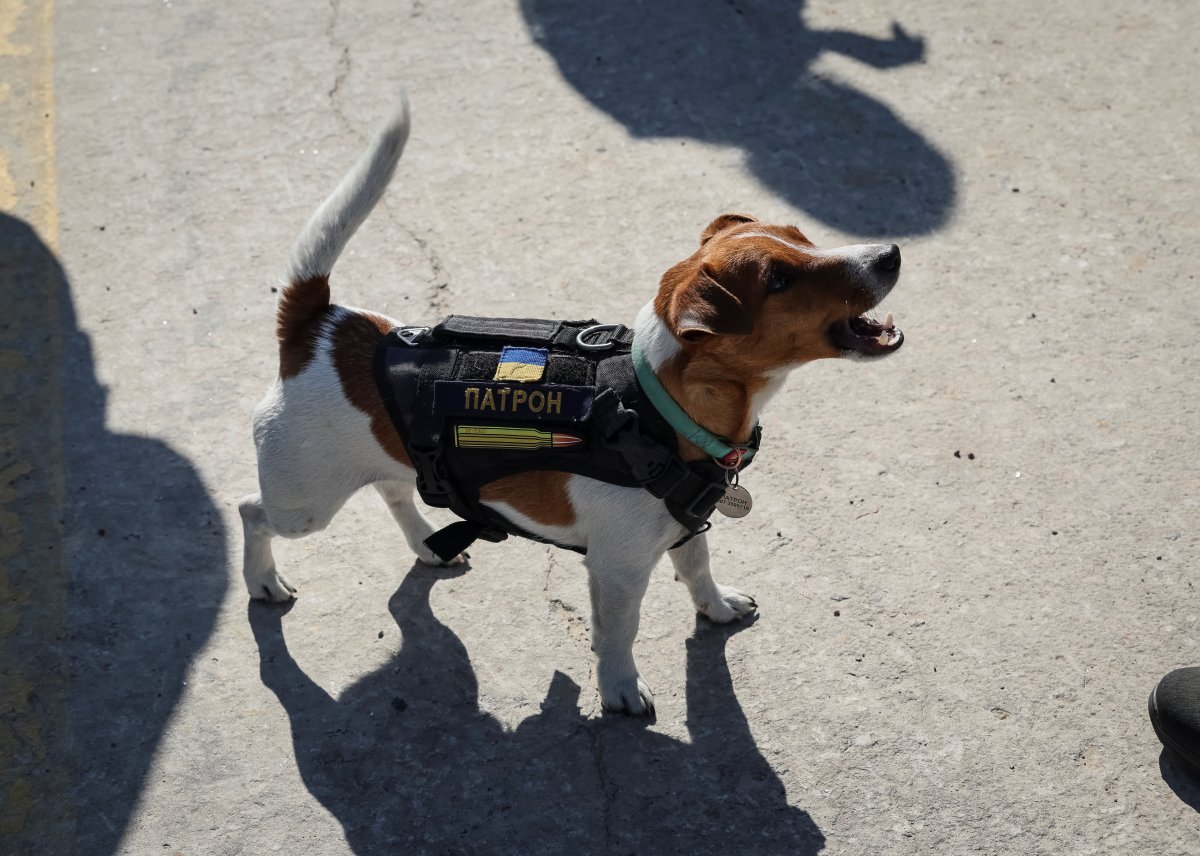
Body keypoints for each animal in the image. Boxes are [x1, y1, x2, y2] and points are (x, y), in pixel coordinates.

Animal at [243, 96, 902, 715]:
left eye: (803, 237)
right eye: (780, 280)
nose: (891, 253)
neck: (654, 407)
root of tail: (323, 324)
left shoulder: (686, 529)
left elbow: (698, 570)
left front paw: (715, 608)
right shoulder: (618, 568)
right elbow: (618, 633)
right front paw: (621, 689)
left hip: (384, 460)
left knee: (394, 491)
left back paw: (428, 545)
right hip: (304, 502)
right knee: (254, 512)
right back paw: (264, 581)